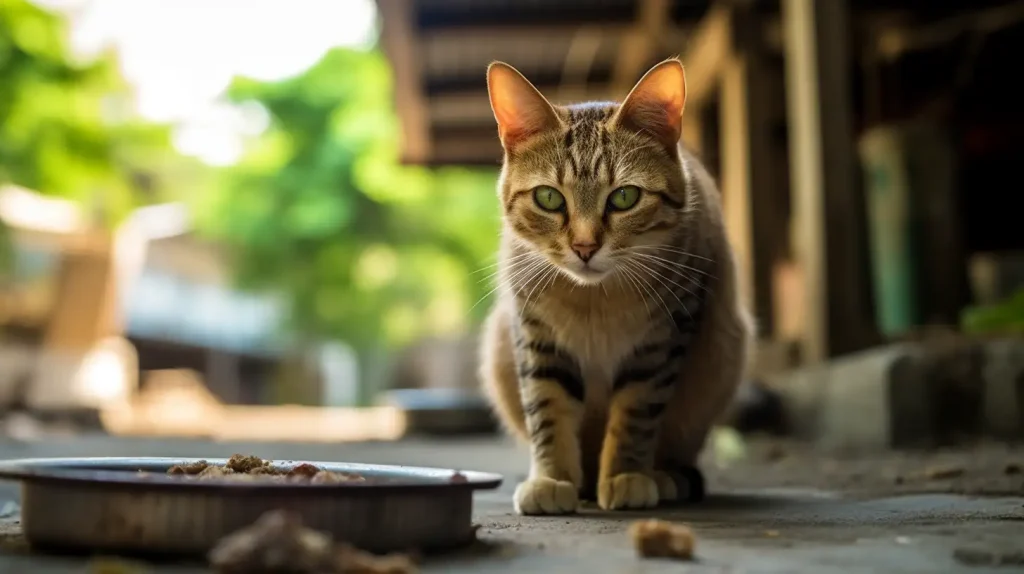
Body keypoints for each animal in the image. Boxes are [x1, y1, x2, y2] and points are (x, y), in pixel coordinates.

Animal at [477, 59, 753, 515]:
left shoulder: (661, 339)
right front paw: (552, 477)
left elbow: (636, 413)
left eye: (624, 197)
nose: (585, 246)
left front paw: (627, 475)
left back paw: (661, 476)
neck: (595, 300)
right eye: (549, 198)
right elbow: (547, 408)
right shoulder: (535, 335)